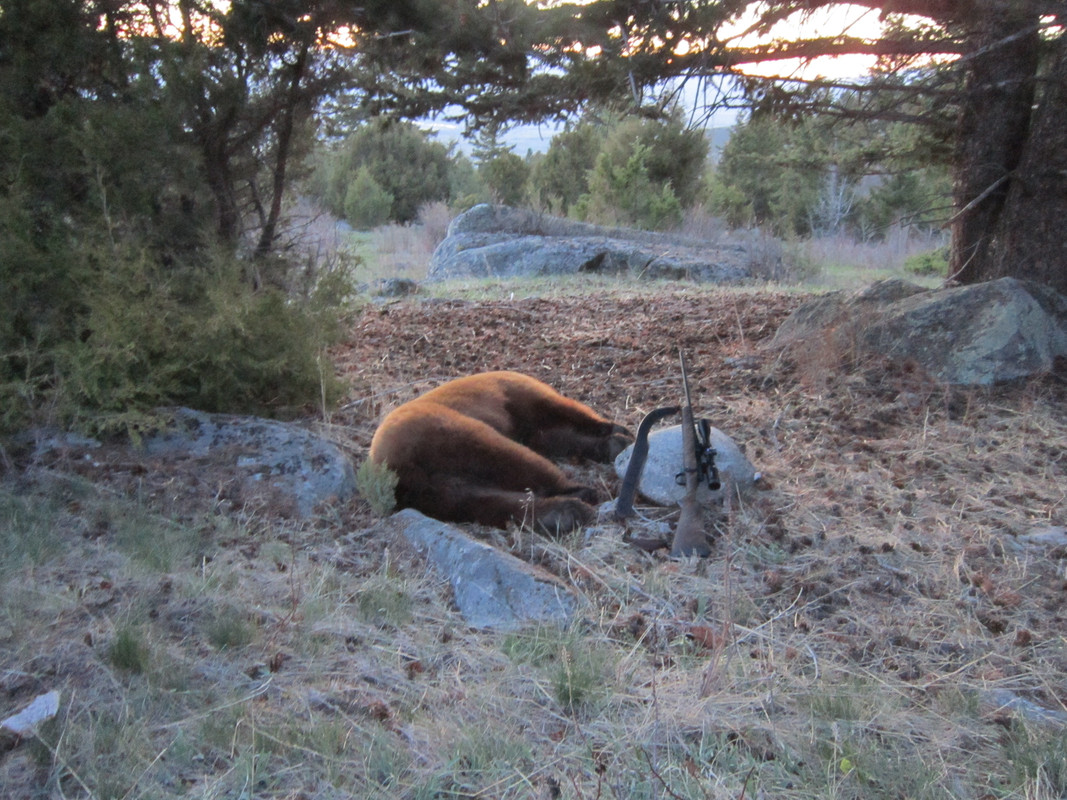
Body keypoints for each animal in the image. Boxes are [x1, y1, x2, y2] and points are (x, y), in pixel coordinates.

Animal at [369, 371, 632, 533]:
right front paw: (617, 433)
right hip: (452, 433)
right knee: (517, 463)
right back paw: (578, 496)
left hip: (433, 489)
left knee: (478, 502)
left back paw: (563, 513)